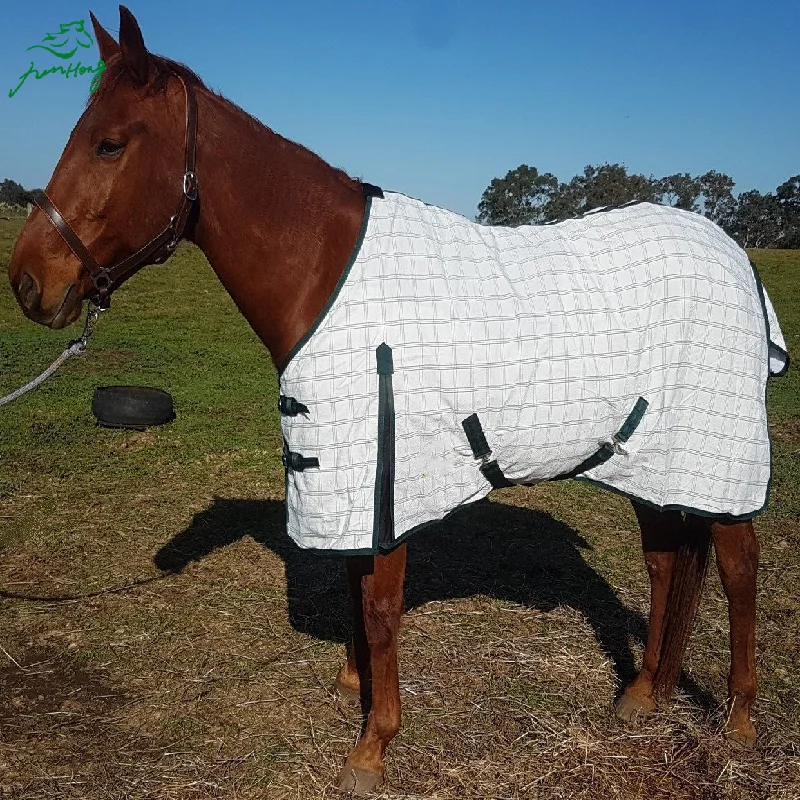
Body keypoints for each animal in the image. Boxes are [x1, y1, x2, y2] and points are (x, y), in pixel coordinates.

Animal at [8, 7, 788, 795]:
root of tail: (732, 252)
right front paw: (354, 688)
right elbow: (352, 583)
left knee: (738, 570)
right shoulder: (346, 474)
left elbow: (380, 605)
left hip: (717, 464)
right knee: (666, 563)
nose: (28, 281)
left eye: (109, 143)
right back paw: (643, 694)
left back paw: (739, 719)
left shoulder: (386, 477)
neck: (323, 269)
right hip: (652, 463)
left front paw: (373, 744)